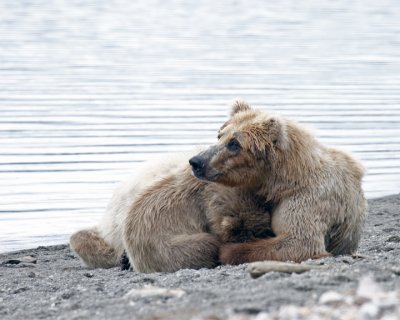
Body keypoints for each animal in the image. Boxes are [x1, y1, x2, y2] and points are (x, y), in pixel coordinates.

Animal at [189, 101, 368, 264]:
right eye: (220, 135)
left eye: (234, 143)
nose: (196, 161)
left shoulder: (308, 197)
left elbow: (299, 242)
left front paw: (226, 249)